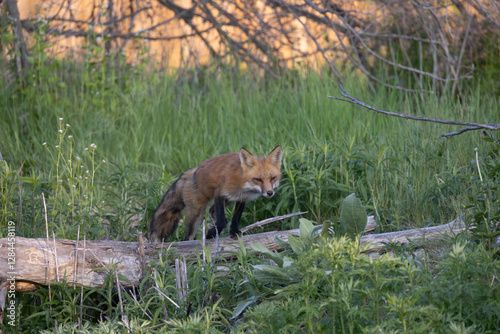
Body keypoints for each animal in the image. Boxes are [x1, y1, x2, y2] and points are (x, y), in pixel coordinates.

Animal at [148, 145, 282, 241]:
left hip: (228, 201)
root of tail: (193, 170)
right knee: (188, 236)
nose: (269, 193)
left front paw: (234, 232)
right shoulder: (220, 193)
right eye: (258, 179)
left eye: (273, 178)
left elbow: (235, 218)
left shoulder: (242, 198)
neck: (244, 184)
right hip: (196, 213)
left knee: (212, 210)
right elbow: (222, 221)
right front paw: (209, 234)